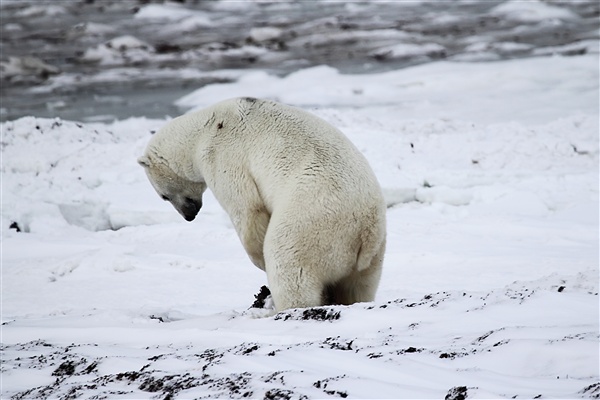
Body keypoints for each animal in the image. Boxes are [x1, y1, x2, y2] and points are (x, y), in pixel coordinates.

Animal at [138, 97, 386, 312]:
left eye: (163, 196)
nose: (190, 215)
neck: (202, 130)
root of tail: (365, 231)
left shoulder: (223, 155)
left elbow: (247, 209)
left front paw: (259, 261)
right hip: (374, 252)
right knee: (358, 285)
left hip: (311, 222)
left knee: (288, 263)